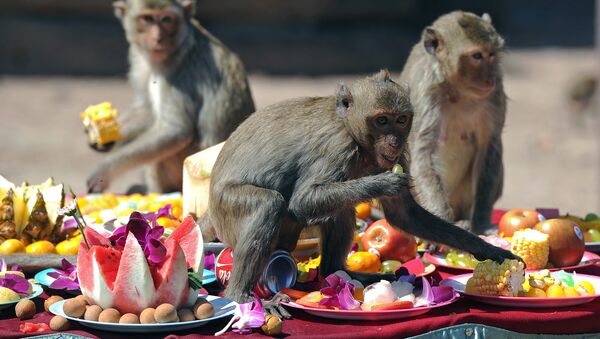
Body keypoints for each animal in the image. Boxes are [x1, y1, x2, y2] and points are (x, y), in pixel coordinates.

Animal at [86, 0, 253, 194]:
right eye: (148, 18)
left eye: (167, 19)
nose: (158, 38)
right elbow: (146, 110)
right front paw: (102, 134)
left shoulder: (178, 71)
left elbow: (175, 131)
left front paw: (104, 170)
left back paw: (155, 192)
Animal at [203, 70, 520, 304]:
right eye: (381, 121)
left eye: (400, 120)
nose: (394, 141)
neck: (355, 136)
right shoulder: (337, 145)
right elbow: (302, 200)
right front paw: (382, 183)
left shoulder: (399, 156)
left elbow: (405, 216)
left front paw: (488, 249)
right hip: (228, 209)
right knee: (271, 204)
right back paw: (240, 297)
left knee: (340, 211)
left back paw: (337, 271)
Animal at [400, 11, 504, 236]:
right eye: (477, 56)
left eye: (491, 54)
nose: (490, 79)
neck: (457, 90)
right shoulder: (426, 93)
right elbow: (424, 153)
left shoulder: (495, 94)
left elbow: (490, 147)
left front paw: (481, 223)